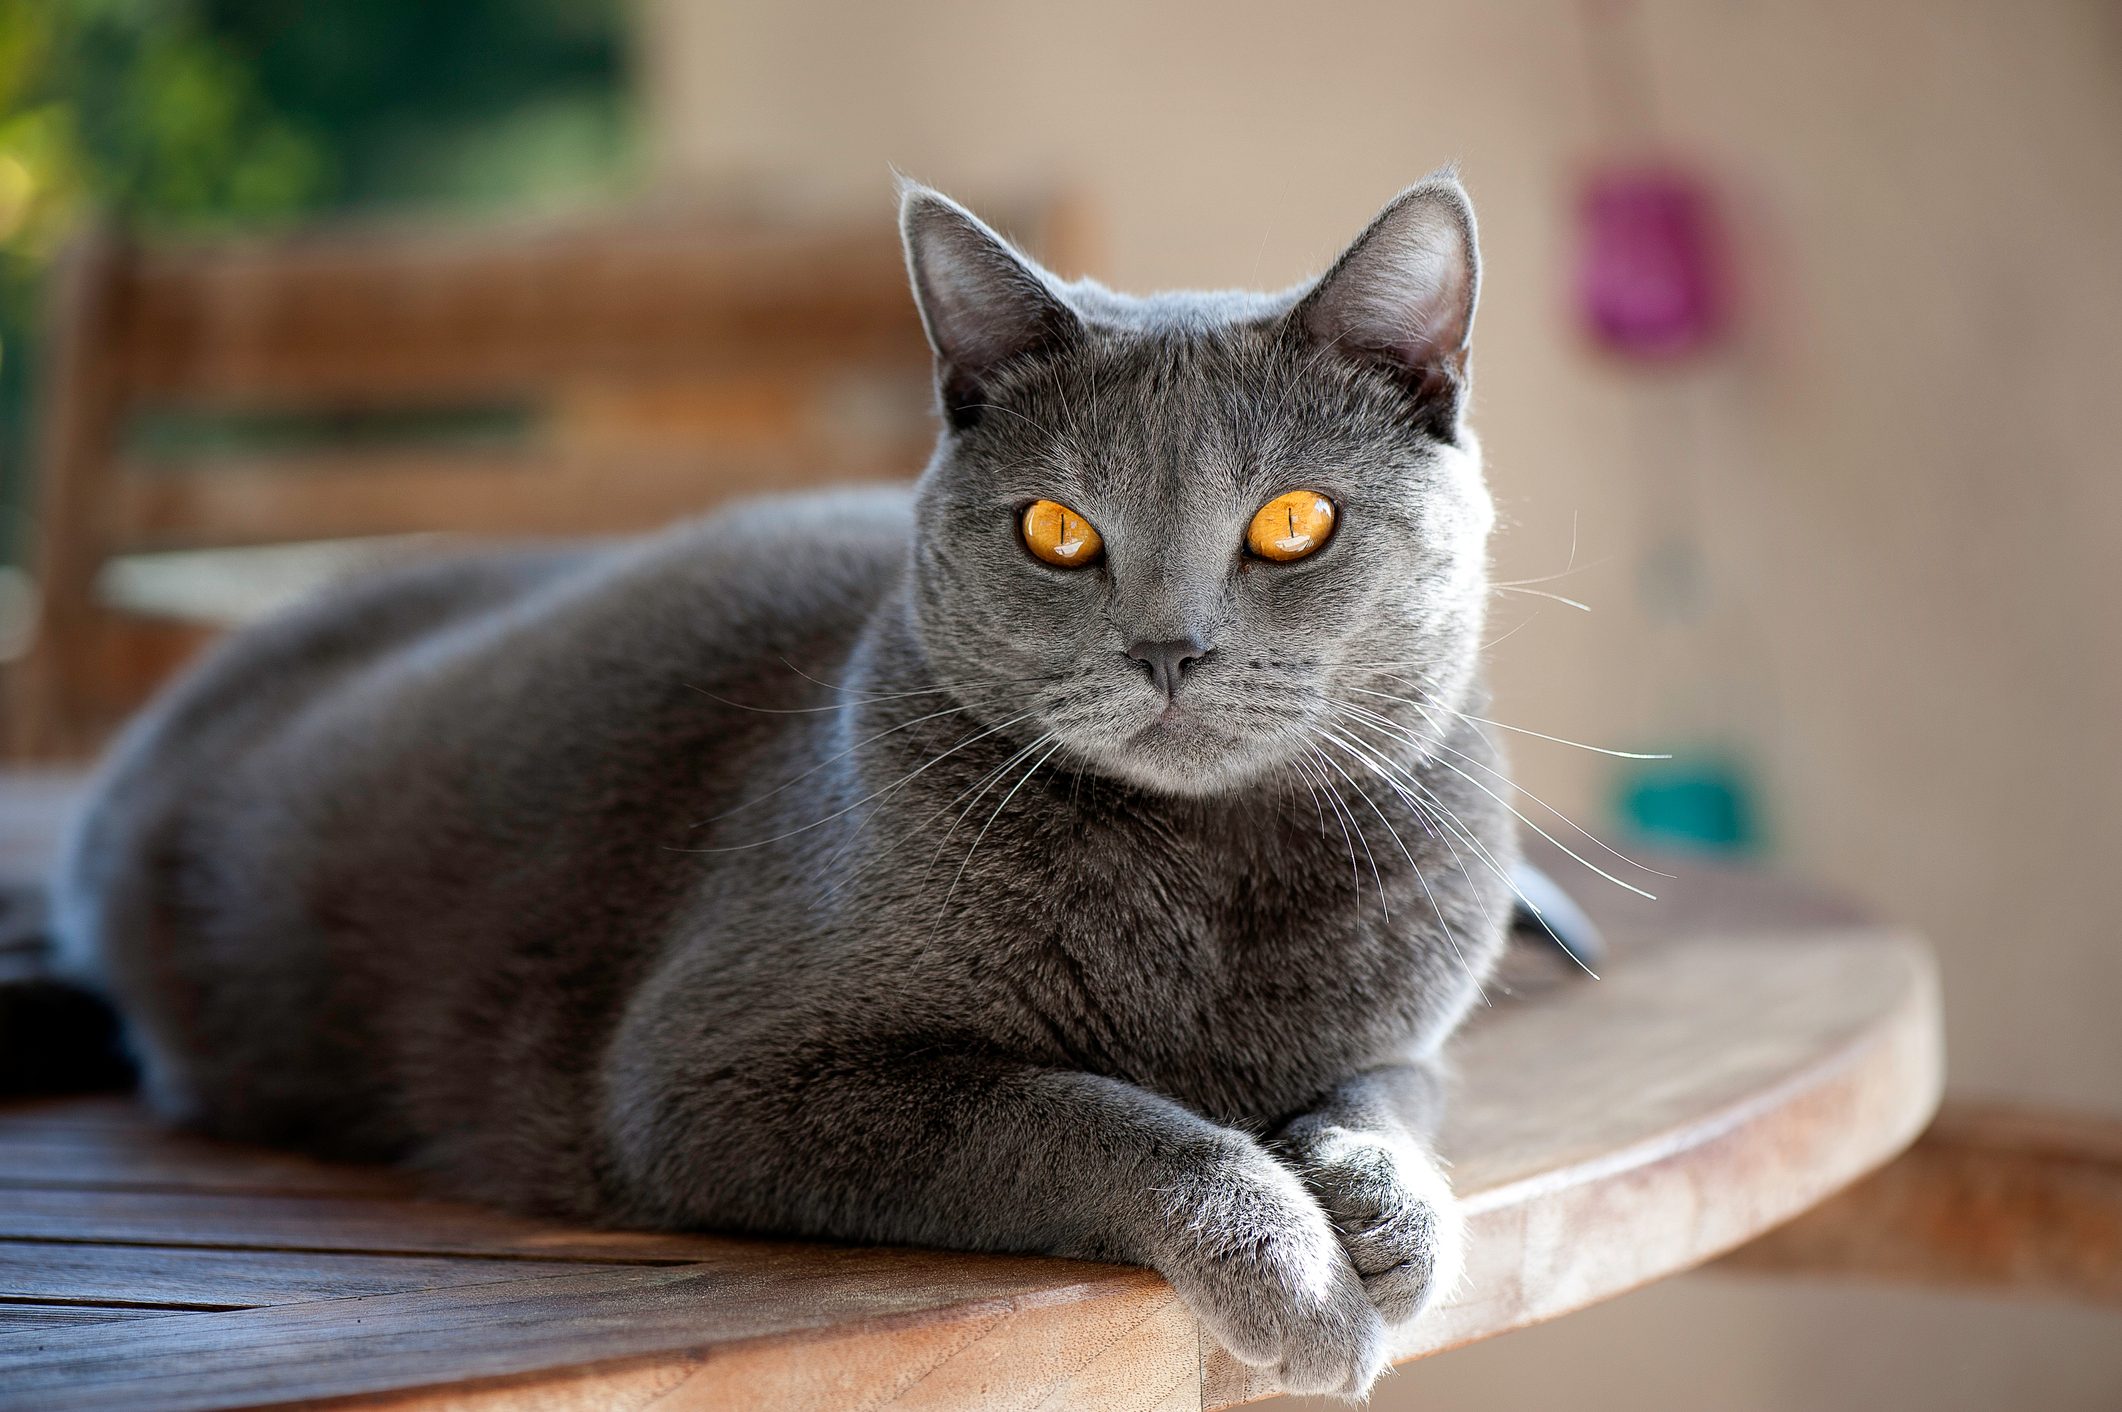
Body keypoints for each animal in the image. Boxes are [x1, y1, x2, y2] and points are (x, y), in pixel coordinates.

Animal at [45, 170, 1510, 1392]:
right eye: (1054, 531)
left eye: (1293, 521)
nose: (1167, 648)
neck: (1212, 882)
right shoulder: (716, 1081)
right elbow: (1090, 1115)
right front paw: (1295, 1269)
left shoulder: (1408, 1027)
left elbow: (1397, 1091)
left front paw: (1389, 1210)